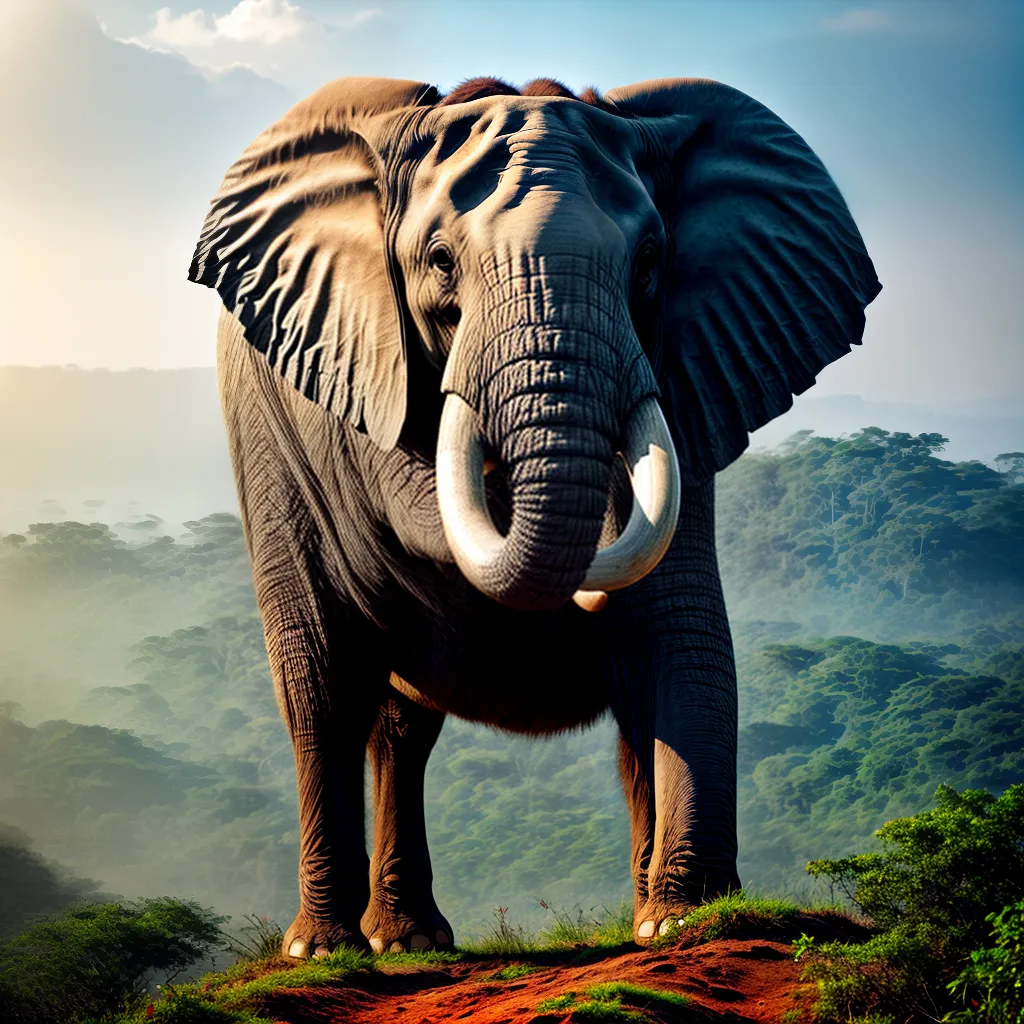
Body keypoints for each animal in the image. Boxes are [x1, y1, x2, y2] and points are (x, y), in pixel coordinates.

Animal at [188, 74, 879, 958]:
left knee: (421, 724)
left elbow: (680, 630)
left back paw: (434, 937)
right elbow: (340, 637)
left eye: (649, 265)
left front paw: (687, 923)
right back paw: (342, 948)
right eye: (440, 263)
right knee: (332, 686)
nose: (584, 592)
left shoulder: (686, 374)